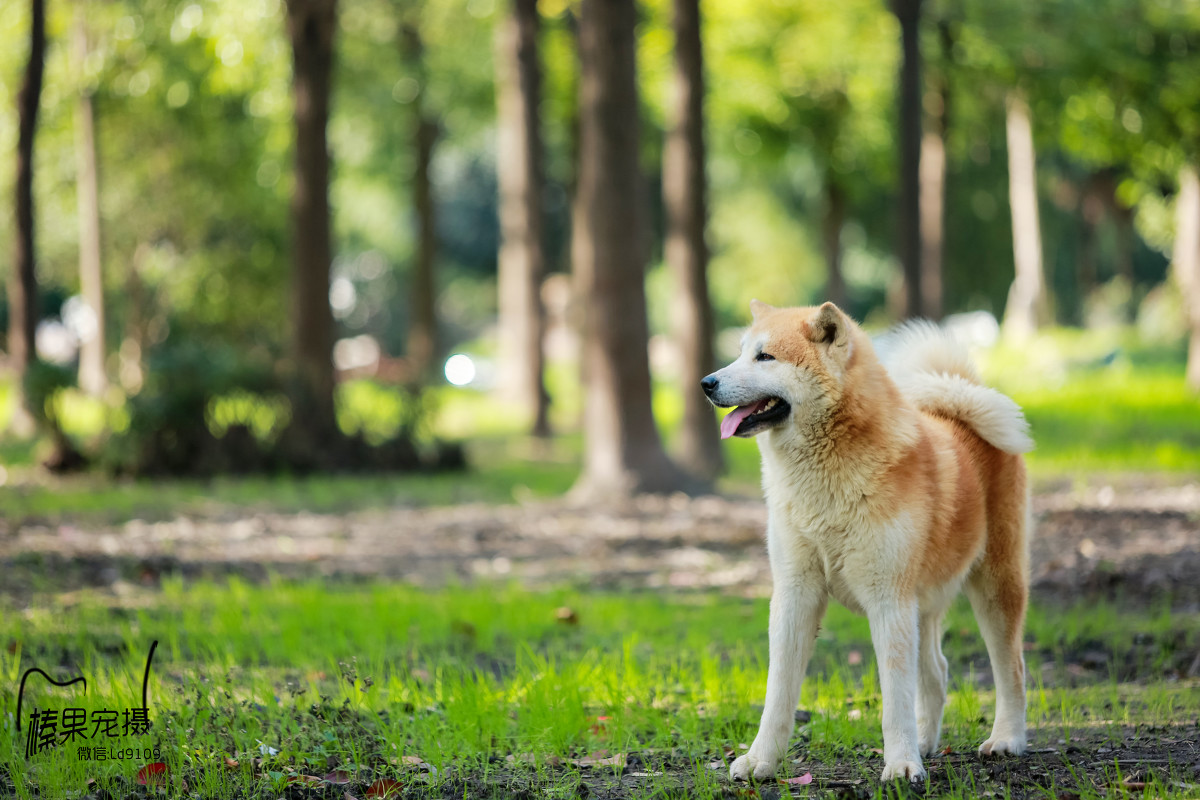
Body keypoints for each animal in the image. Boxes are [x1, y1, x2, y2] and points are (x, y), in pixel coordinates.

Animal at [700, 299, 1032, 782]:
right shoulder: (795, 594)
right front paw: (761, 760)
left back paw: (1006, 739)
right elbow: (778, 694)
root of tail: (962, 401)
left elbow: (894, 698)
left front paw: (901, 764)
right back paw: (926, 741)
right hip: (923, 604)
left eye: (765, 357)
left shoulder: (888, 600)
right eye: (740, 352)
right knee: (937, 671)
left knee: (1012, 670)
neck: (826, 481)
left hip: (993, 587)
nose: (706, 383)